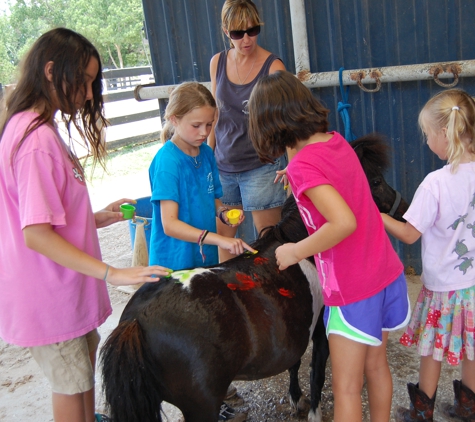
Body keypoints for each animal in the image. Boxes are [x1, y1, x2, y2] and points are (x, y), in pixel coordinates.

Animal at [98, 133, 408, 422]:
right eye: (375, 180)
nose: (403, 207)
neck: (297, 240)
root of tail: (136, 320)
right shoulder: (321, 333)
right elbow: (316, 375)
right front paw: (312, 411)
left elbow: (294, 363)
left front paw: (296, 398)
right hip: (200, 406)